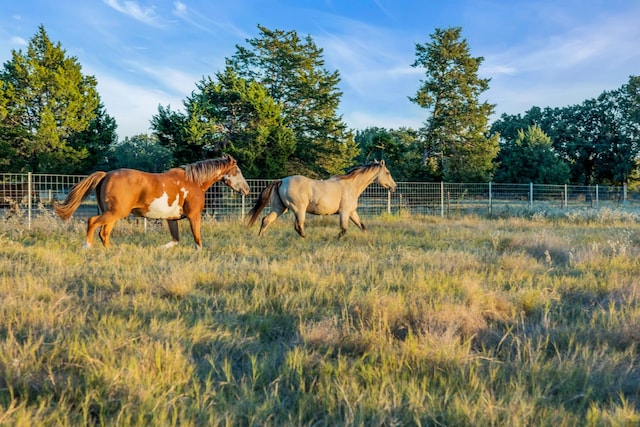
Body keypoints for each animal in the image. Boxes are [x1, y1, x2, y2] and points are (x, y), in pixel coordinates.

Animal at [53, 155, 250, 249]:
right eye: (237, 171)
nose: (247, 189)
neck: (194, 182)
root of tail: (106, 174)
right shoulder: (194, 216)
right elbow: (197, 239)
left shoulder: (172, 219)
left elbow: (176, 240)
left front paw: (161, 249)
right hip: (115, 213)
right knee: (92, 222)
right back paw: (87, 246)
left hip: (113, 214)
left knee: (104, 233)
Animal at [249, 160, 396, 239]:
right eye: (388, 172)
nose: (394, 187)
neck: (351, 185)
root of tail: (282, 180)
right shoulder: (344, 212)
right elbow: (344, 229)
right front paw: (334, 239)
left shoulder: (352, 212)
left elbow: (362, 226)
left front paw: (368, 238)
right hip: (299, 209)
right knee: (298, 226)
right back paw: (307, 239)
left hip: (280, 208)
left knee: (266, 220)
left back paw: (260, 237)